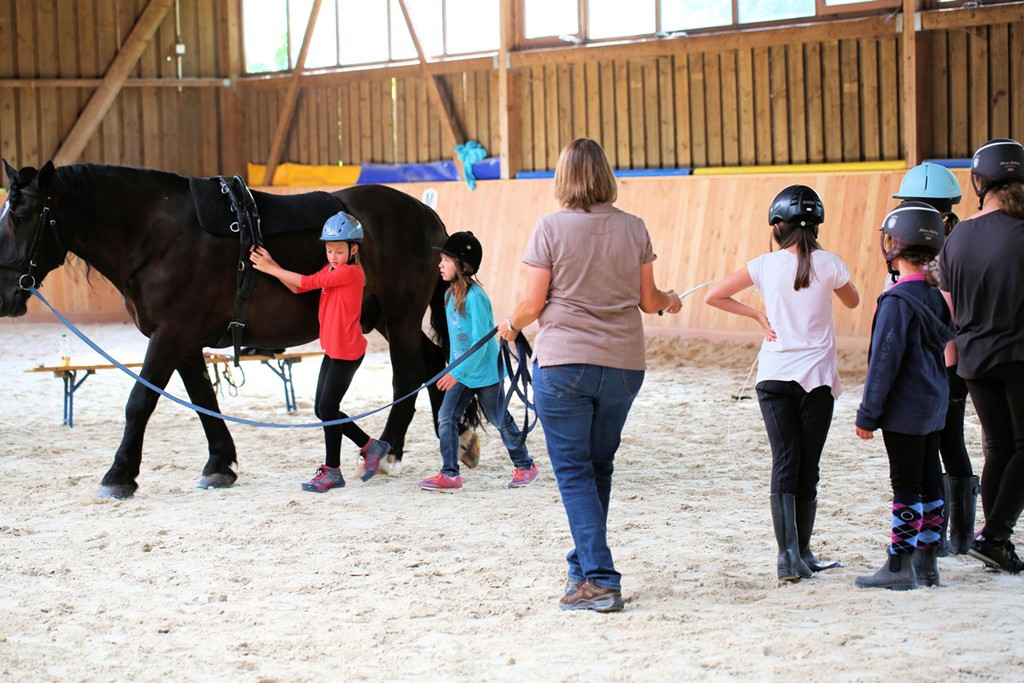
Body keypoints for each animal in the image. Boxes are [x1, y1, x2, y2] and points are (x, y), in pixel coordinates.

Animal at [0, 162, 456, 499]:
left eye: (20, 218)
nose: (5, 295)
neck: (157, 234)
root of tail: (428, 216)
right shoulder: (182, 342)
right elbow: (205, 401)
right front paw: (219, 465)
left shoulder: (170, 335)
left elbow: (140, 402)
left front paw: (119, 475)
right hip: (384, 319)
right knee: (432, 365)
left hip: (399, 317)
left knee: (408, 377)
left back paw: (389, 450)